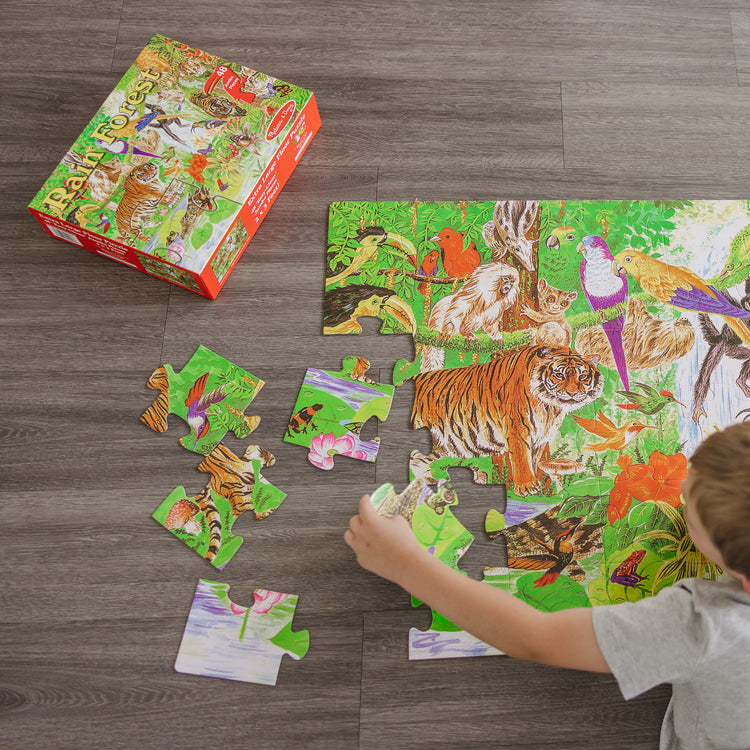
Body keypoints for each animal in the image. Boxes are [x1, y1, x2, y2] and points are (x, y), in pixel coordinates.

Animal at [412, 346, 604, 500]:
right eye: (559, 375)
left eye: (583, 376)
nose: (572, 393)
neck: (550, 407)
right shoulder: (518, 429)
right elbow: (521, 459)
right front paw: (527, 487)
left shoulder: (539, 438)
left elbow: (533, 461)